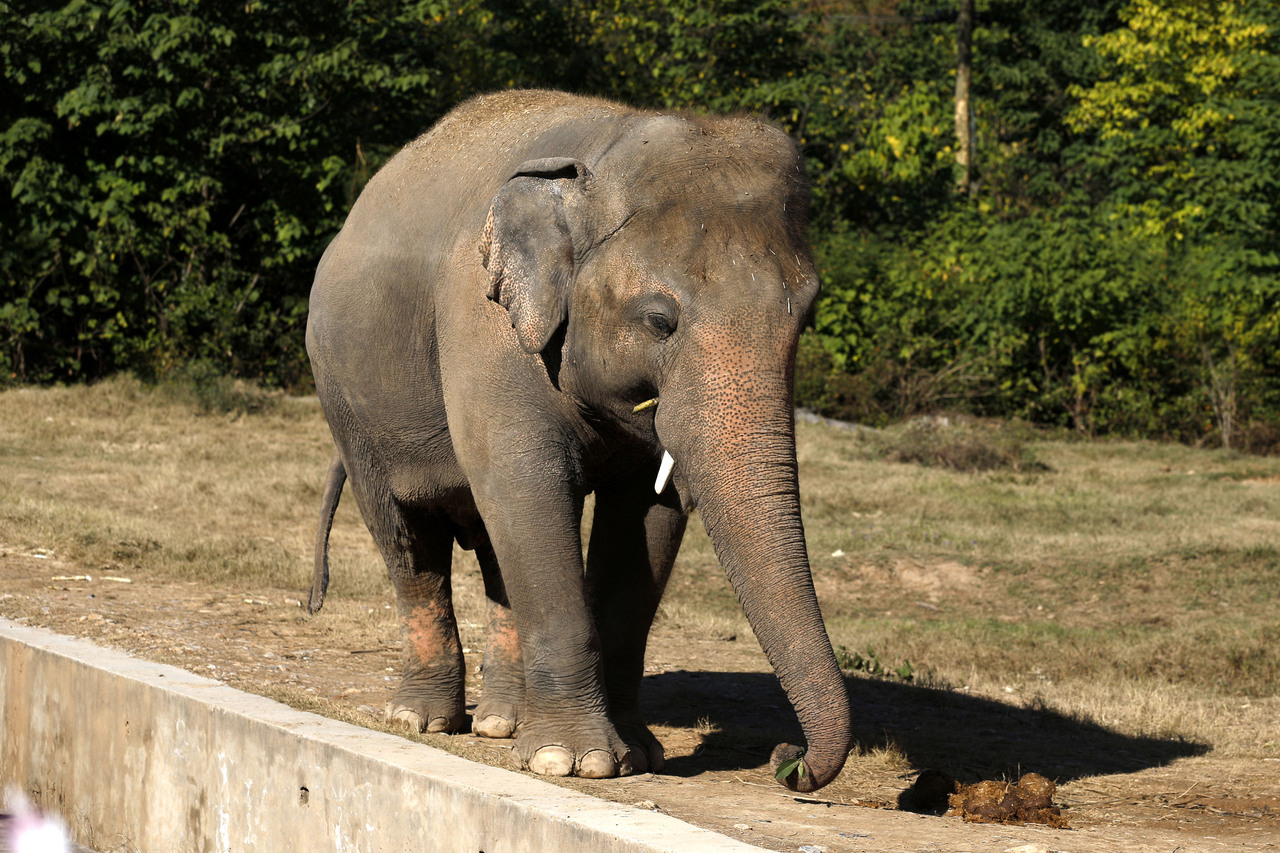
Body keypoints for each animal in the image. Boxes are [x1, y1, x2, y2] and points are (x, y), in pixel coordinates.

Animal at [304, 87, 855, 788]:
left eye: (806, 317)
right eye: (660, 320)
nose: (790, 762)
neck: (606, 147)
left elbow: (648, 518)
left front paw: (639, 755)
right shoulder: (485, 329)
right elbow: (529, 489)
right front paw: (575, 762)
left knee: (495, 548)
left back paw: (502, 723)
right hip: (348, 403)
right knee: (409, 541)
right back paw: (421, 721)